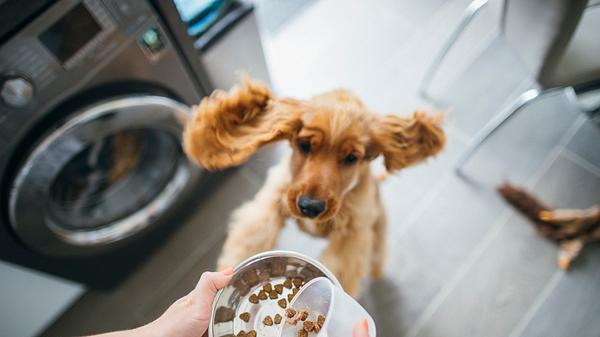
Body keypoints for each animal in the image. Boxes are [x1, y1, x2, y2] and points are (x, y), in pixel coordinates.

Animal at [184, 78, 446, 294]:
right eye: (304, 144)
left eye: (351, 158)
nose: (310, 207)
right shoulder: (271, 201)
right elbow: (252, 237)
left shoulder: (351, 235)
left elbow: (340, 270)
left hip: (378, 221)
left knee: (378, 249)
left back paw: (377, 269)